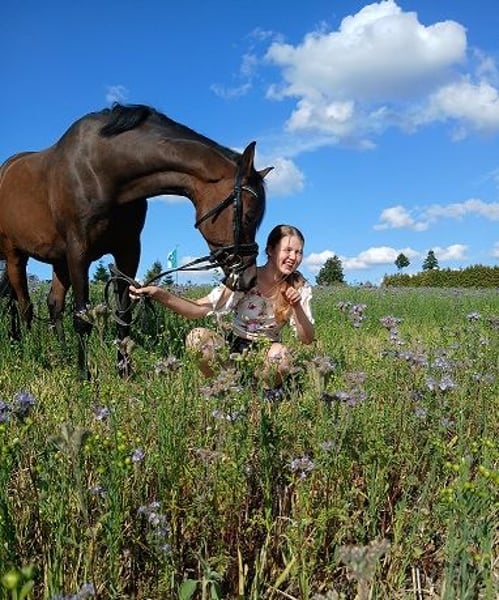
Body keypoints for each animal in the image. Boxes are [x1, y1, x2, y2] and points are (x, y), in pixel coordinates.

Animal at [0, 103, 272, 377]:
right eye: (249, 216)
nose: (250, 278)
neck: (102, 171)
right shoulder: (79, 253)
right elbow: (81, 317)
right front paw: (84, 375)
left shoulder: (128, 250)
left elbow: (123, 314)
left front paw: (124, 370)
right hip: (15, 256)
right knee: (23, 306)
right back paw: (28, 351)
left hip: (59, 262)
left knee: (53, 304)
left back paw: (62, 352)